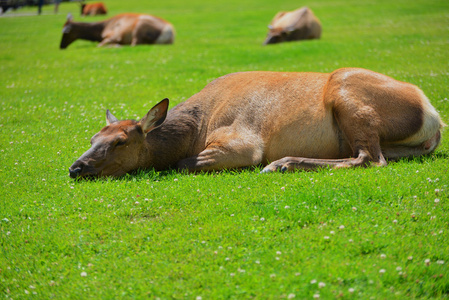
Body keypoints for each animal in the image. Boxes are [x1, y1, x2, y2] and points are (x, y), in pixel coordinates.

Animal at [68, 68, 442, 178]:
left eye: (120, 141)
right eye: (92, 137)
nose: (76, 167)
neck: (195, 128)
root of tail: (433, 117)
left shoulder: (243, 143)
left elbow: (182, 163)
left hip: (346, 93)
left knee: (370, 158)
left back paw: (282, 163)